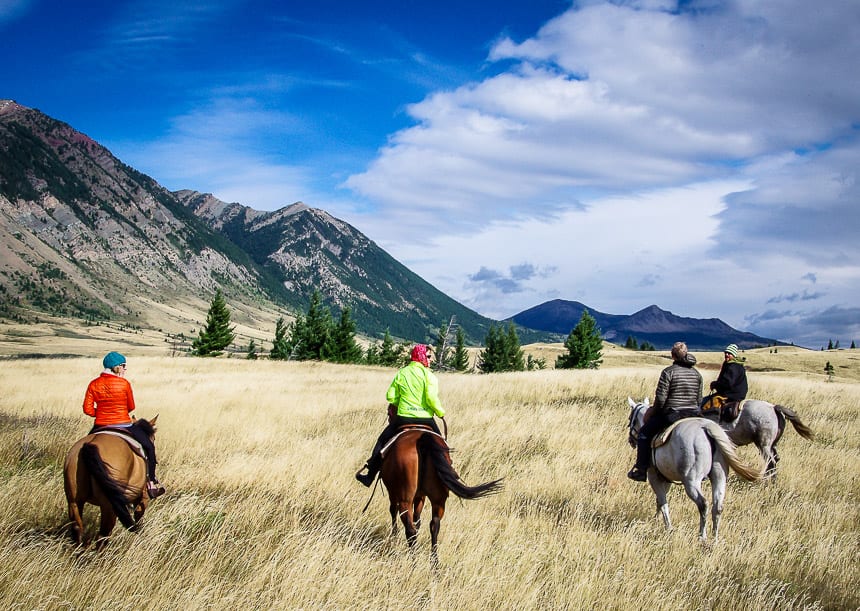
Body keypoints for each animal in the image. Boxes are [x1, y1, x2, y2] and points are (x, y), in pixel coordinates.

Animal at [63, 418, 160, 548]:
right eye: (153, 438)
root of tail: (88, 446)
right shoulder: (143, 497)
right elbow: (139, 516)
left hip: (74, 501)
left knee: (77, 528)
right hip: (108, 505)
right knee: (103, 535)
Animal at [378, 426, 504, 560]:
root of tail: (422, 439)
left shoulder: (394, 493)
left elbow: (394, 511)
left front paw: (394, 536)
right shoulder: (420, 496)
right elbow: (417, 519)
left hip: (405, 499)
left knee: (410, 528)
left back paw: (414, 560)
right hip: (438, 499)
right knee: (434, 525)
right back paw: (434, 562)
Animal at [628, 400, 764, 544]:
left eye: (631, 418)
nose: (631, 440)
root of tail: (706, 428)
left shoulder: (654, 476)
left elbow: (662, 501)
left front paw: (668, 527)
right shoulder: (665, 477)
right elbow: (660, 501)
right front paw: (656, 520)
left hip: (691, 482)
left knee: (703, 504)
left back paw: (702, 537)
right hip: (719, 477)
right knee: (717, 507)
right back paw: (714, 539)